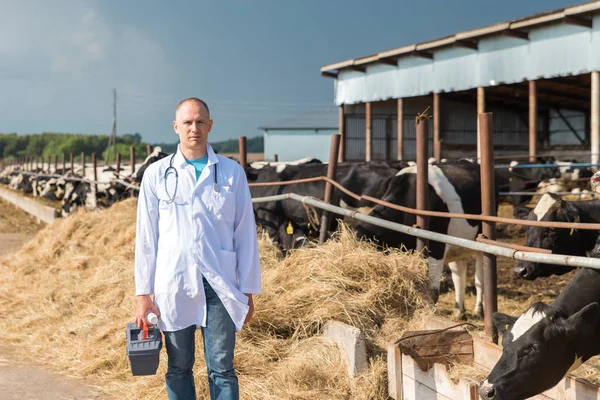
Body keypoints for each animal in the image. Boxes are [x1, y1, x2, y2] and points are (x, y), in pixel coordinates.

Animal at [350, 161, 490, 320]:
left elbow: (432, 291)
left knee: (479, 278)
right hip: (457, 244)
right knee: (459, 274)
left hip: (479, 242)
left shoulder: (436, 246)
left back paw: (478, 310)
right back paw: (459, 311)